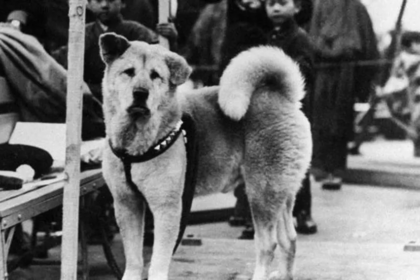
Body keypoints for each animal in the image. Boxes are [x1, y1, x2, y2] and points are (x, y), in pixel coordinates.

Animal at [99, 31, 312, 278]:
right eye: (129, 72)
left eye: (155, 76)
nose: (140, 93)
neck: (135, 144)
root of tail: (282, 97)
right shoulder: (126, 204)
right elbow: (133, 259)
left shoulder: (167, 208)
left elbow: (158, 261)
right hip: (280, 194)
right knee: (289, 240)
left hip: (261, 193)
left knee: (268, 244)